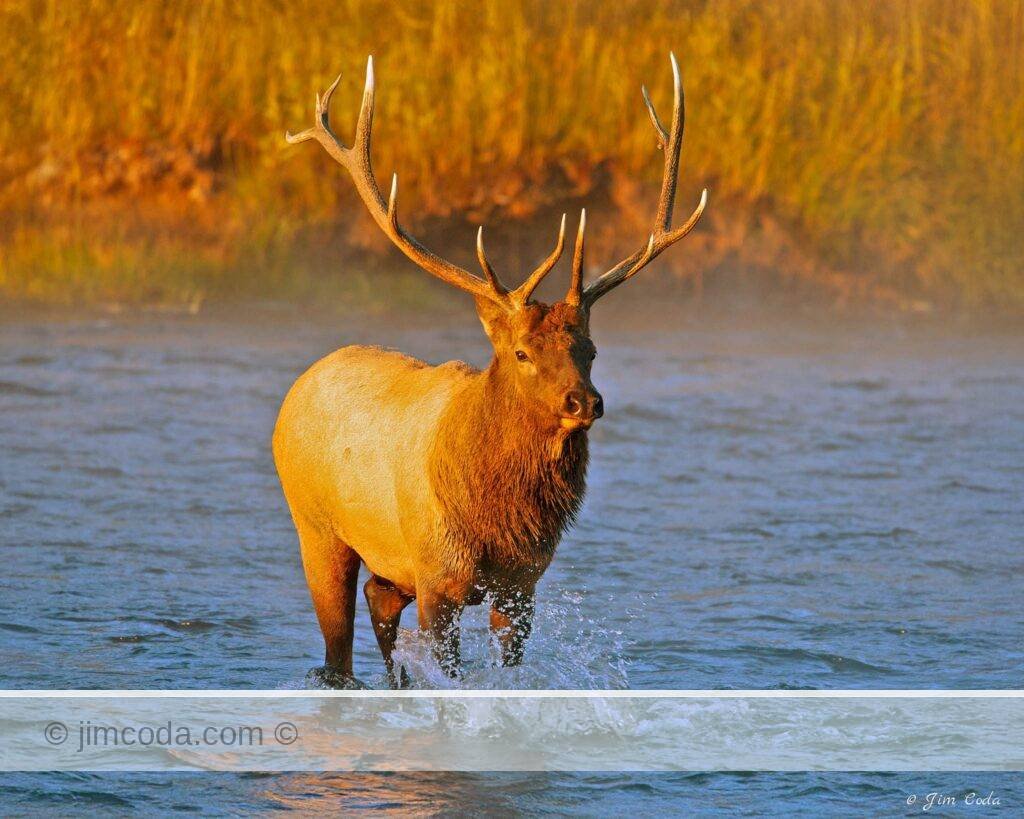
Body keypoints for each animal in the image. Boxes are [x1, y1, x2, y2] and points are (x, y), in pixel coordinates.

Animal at [273, 54, 706, 687]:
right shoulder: (438, 577)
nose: (585, 402)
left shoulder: (522, 585)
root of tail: (300, 385)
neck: (496, 520)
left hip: (390, 566)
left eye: (591, 349)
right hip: (318, 528)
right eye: (521, 353)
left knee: (379, 602)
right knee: (337, 651)